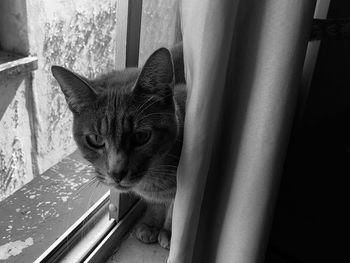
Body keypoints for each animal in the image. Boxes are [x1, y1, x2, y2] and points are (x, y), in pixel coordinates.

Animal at [51, 42, 186, 250]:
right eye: (95, 139)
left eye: (141, 136)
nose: (117, 173)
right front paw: (152, 222)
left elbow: (175, 205)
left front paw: (171, 231)